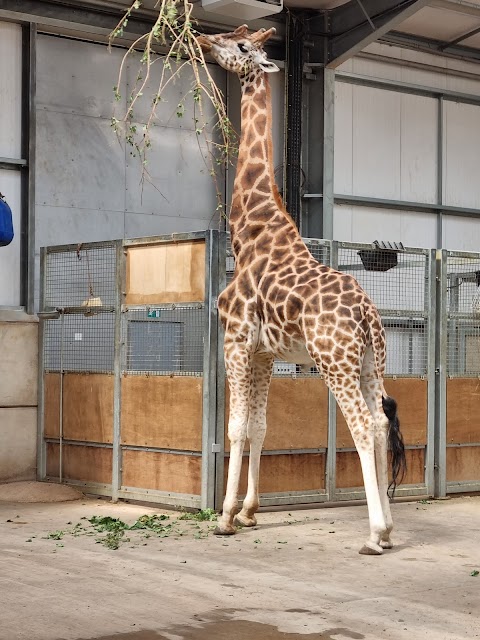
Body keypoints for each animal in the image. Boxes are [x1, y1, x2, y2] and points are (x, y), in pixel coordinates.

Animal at [196, 26, 404, 556]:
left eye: (240, 46)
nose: (204, 40)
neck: (251, 229)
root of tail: (367, 314)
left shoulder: (234, 338)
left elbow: (234, 426)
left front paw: (224, 517)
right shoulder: (265, 352)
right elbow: (260, 425)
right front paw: (249, 512)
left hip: (333, 361)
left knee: (363, 424)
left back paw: (375, 534)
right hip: (371, 362)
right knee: (379, 423)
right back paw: (389, 529)